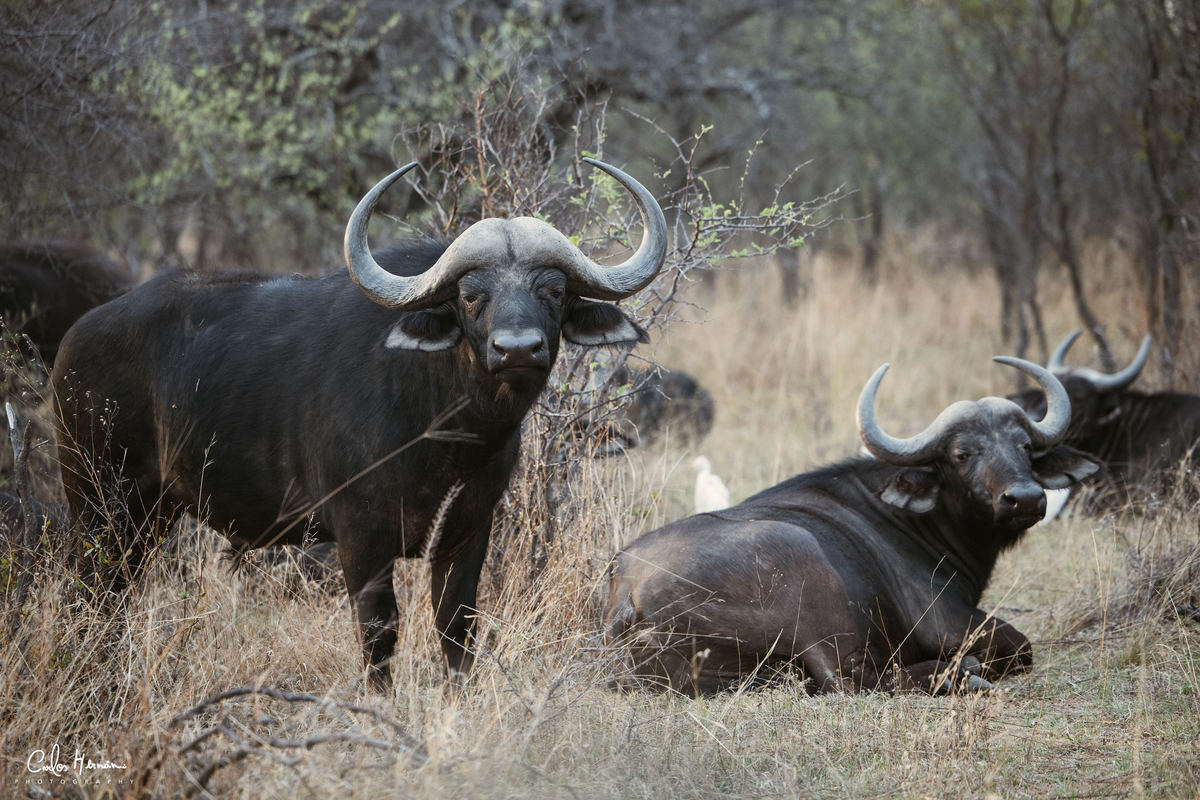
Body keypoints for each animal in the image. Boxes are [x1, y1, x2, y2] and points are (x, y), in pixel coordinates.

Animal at [52, 158, 667, 689]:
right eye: (472, 296)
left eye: (554, 291)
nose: (518, 349)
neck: (450, 432)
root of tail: (74, 341)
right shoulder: (360, 535)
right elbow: (379, 631)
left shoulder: (469, 528)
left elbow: (456, 626)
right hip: (100, 507)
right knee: (92, 595)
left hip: (151, 515)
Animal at [603, 357, 1100, 695]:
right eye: (962, 453)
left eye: (1024, 447)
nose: (1026, 498)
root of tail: (626, 590)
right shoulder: (949, 623)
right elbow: (1023, 646)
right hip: (812, 580)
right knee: (852, 678)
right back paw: (962, 674)